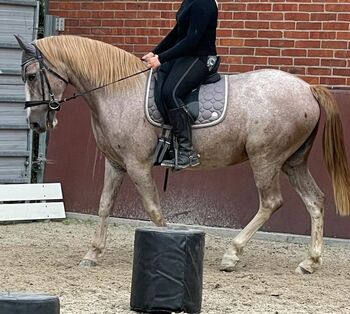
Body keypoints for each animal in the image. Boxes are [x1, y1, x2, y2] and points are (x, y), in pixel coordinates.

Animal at [16, 34, 350, 274]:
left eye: (31, 76)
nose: (35, 123)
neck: (118, 92)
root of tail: (307, 88)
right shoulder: (116, 164)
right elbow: (104, 206)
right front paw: (92, 254)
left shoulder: (137, 165)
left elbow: (153, 210)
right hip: (293, 162)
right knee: (315, 201)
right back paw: (309, 262)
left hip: (265, 159)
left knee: (271, 202)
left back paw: (232, 254)